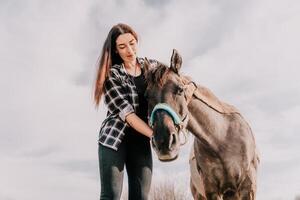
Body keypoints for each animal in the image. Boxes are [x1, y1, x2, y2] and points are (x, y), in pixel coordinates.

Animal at [144, 49, 258, 199]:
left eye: (180, 89)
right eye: (146, 96)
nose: (163, 142)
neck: (221, 139)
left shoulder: (247, 188)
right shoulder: (211, 189)